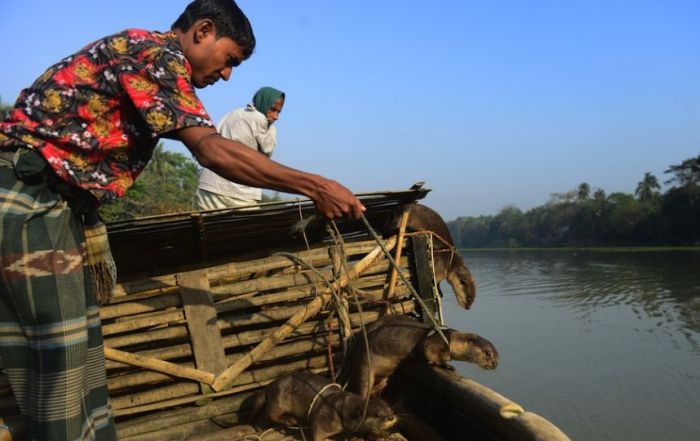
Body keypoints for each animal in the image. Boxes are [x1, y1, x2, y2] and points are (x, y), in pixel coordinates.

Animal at [249, 370, 396, 438]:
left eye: (390, 408)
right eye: (378, 414)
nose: (391, 417)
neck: (342, 410)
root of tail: (269, 387)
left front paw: (383, 434)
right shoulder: (325, 416)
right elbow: (317, 430)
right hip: (279, 398)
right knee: (271, 413)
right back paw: (291, 420)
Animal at [340, 314, 498, 400]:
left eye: (498, 356)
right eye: (488, 353)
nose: (495, 364)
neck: (450, 339)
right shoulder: (432, 343)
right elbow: (428, 353)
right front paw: (446, 365)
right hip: (365, 366)